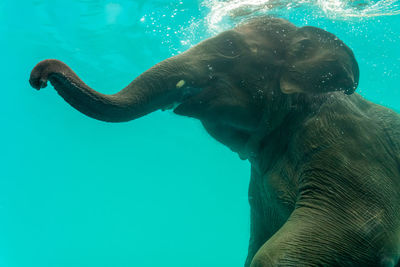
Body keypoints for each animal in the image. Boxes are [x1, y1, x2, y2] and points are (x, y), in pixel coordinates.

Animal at [28, 17, 400, 266]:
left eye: (230, 48)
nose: (40, 77)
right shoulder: (259, 190)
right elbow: (258, 242)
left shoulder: (345, 143)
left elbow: (355, 231)